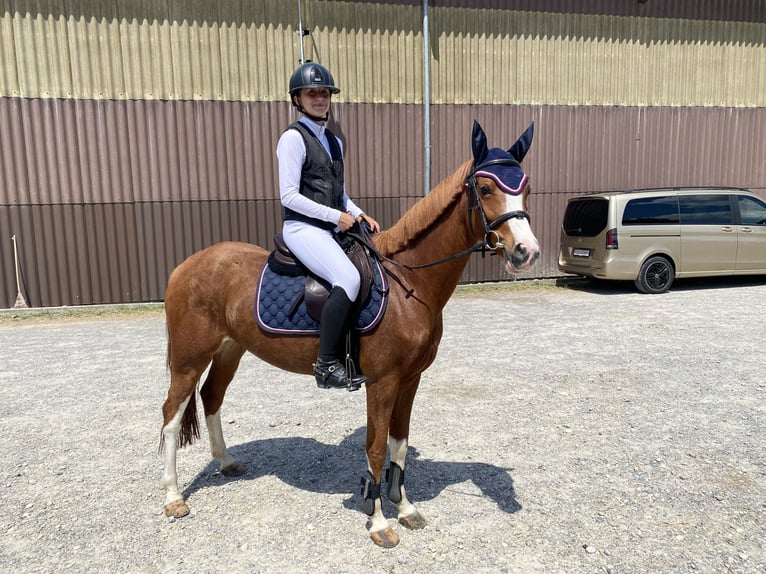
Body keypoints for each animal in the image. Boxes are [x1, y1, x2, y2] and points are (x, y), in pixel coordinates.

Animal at [159, 120, 540, 548]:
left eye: (525, 187)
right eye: (486, 188)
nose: (526, 251)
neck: (409, 282)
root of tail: (187, 265)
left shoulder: (410, 380)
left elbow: (398, 443)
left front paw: (404, 508)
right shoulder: (382, 381)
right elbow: (375, 448)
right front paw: (379, 523)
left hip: (229, 350)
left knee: (211, 397)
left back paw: (226, 462)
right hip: (190, 358)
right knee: (171, 415)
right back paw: (173, 497)